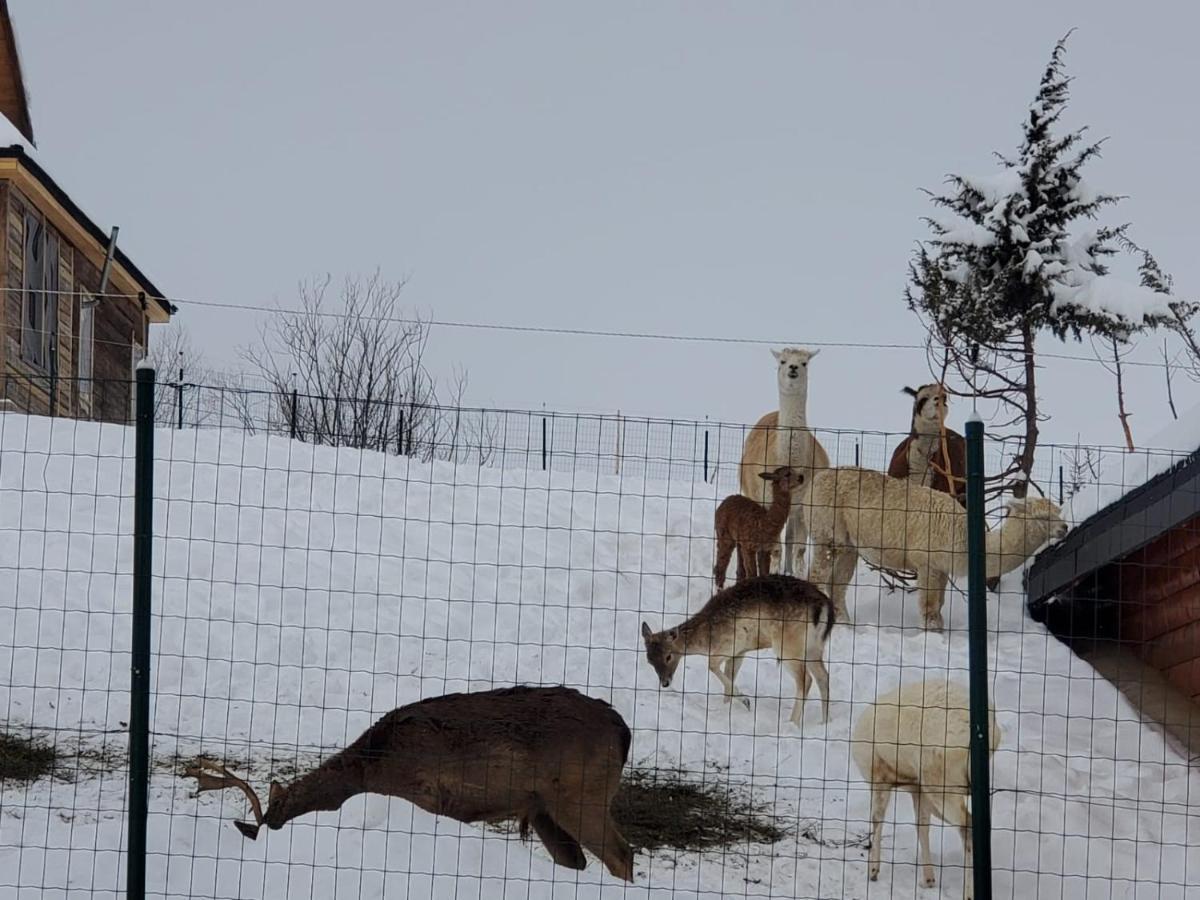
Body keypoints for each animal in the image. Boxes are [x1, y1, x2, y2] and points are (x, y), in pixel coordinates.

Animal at [182, 686, 633, 883]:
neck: (370, 769)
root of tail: (624, 731)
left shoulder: (422, 794)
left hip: (582, 795)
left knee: (622, 855)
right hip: (543, 810)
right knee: (576, 862)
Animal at [643, 578, 830, 734]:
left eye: (668, 656)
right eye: (649, 661)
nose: (665, 683)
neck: (706, 638)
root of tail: (825, 607)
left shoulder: (732, 642)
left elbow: (712, 665)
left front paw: (746, 701)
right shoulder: (740, 652)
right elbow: (729, 677)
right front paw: (728, 708)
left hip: (788, 645)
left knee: (806, 679)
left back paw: (792, 723)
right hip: (813, 647)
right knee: (823, 676)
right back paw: (824, 723)